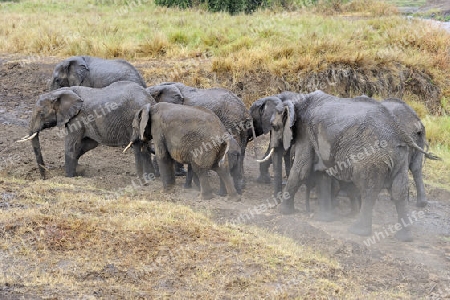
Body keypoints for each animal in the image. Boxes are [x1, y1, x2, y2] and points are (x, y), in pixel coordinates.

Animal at [17, 81, 156, 180]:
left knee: (139, 146)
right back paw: (151, 178)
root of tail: (150, 99)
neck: (60, 92)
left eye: (41, 114)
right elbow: (89, 144)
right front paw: (77, 171)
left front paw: (69, 177)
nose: (44, 178)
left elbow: (71, 145)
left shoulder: (77, 118)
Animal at [262, 91, 438, 241]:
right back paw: (404, 238)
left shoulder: (305, 133)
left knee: (368, 188)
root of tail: (399, 130)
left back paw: (358, 231)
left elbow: (301, 170)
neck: (297, 99)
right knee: (399, 189)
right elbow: (323, 173)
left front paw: (284, 212)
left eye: (274, 126)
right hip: (399, 155)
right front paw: (324, 219)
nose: (308, 209)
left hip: (371, 157)